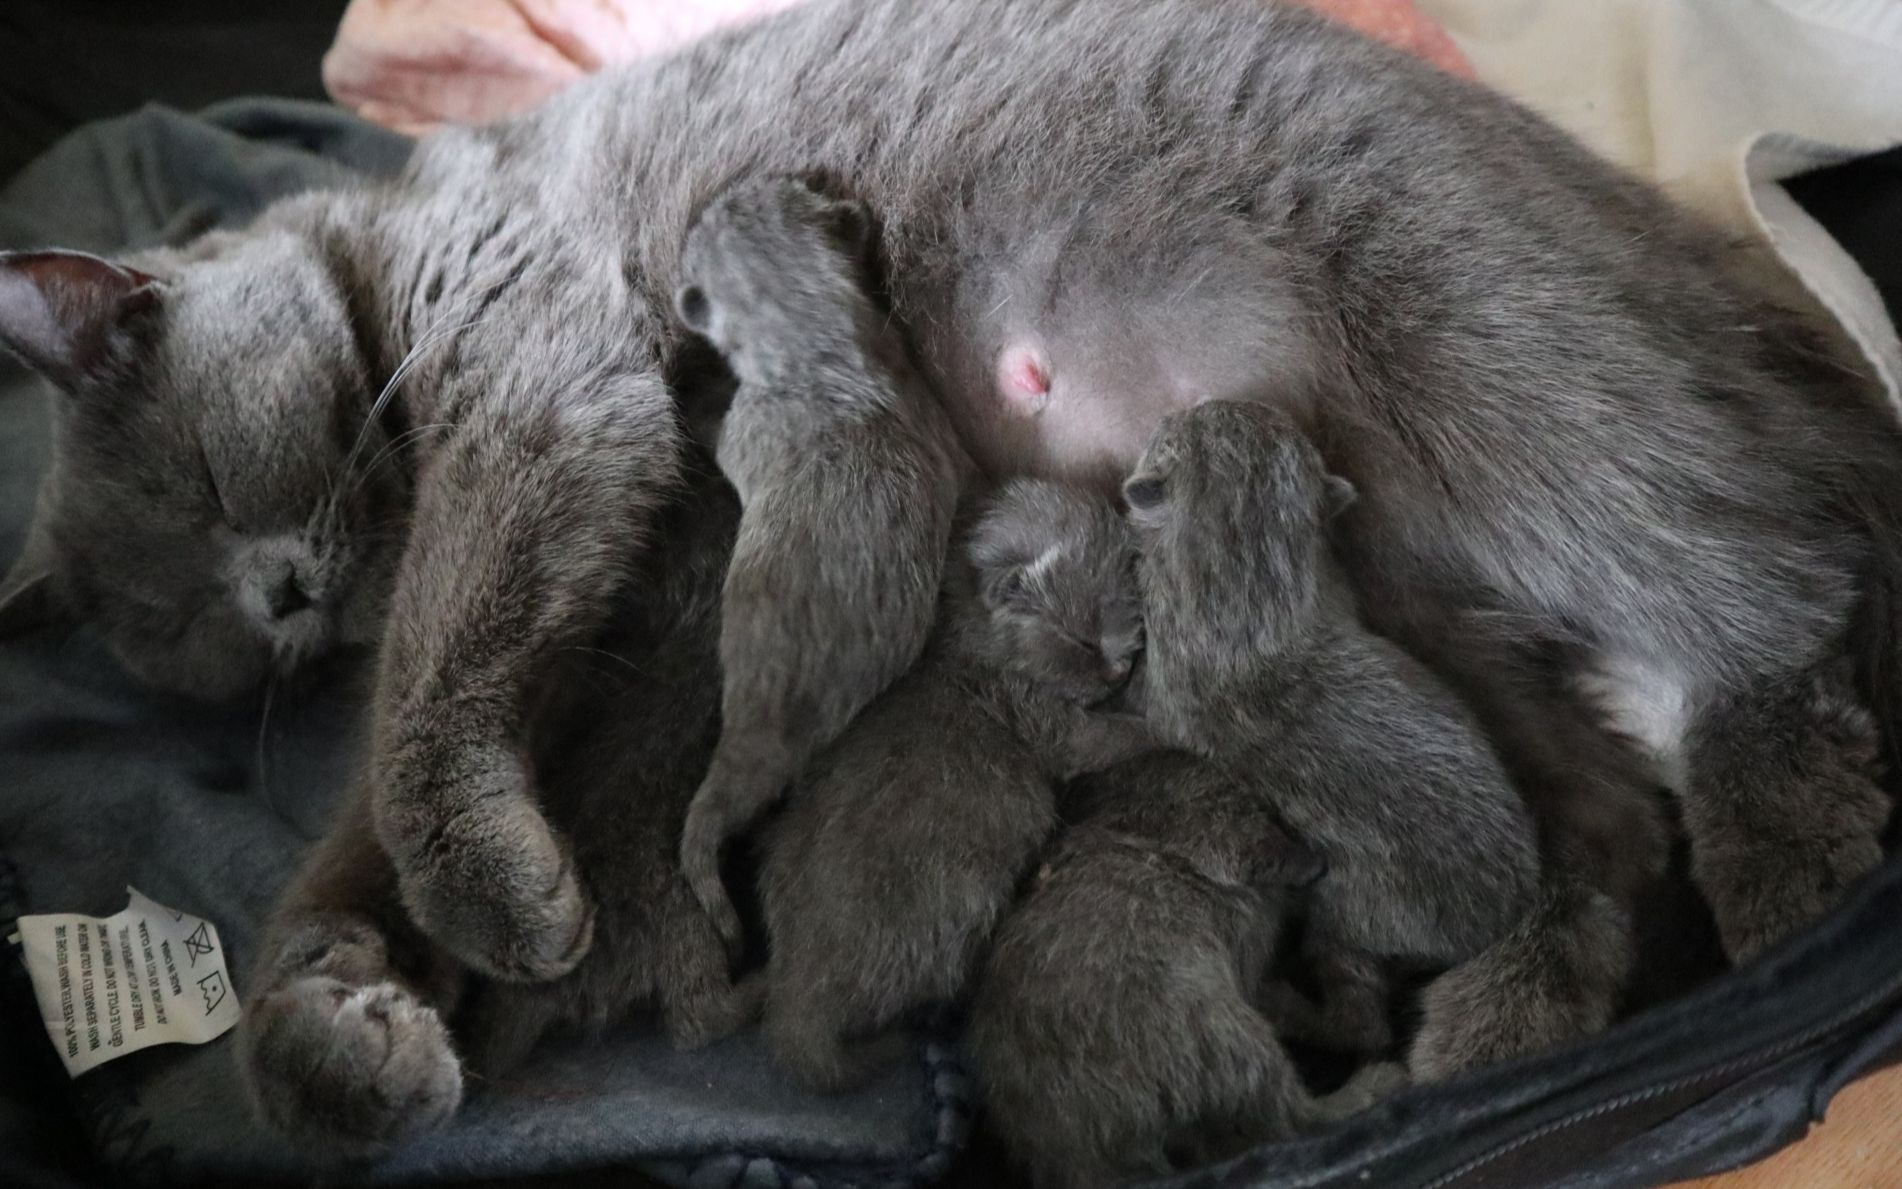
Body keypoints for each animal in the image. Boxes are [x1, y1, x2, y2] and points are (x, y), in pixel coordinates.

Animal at [753, 477, 1141, 1088]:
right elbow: (1116, 736)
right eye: (1083, 640)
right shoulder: (1050, 725)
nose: (1121, 670)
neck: (960, 638)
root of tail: (797, 988)